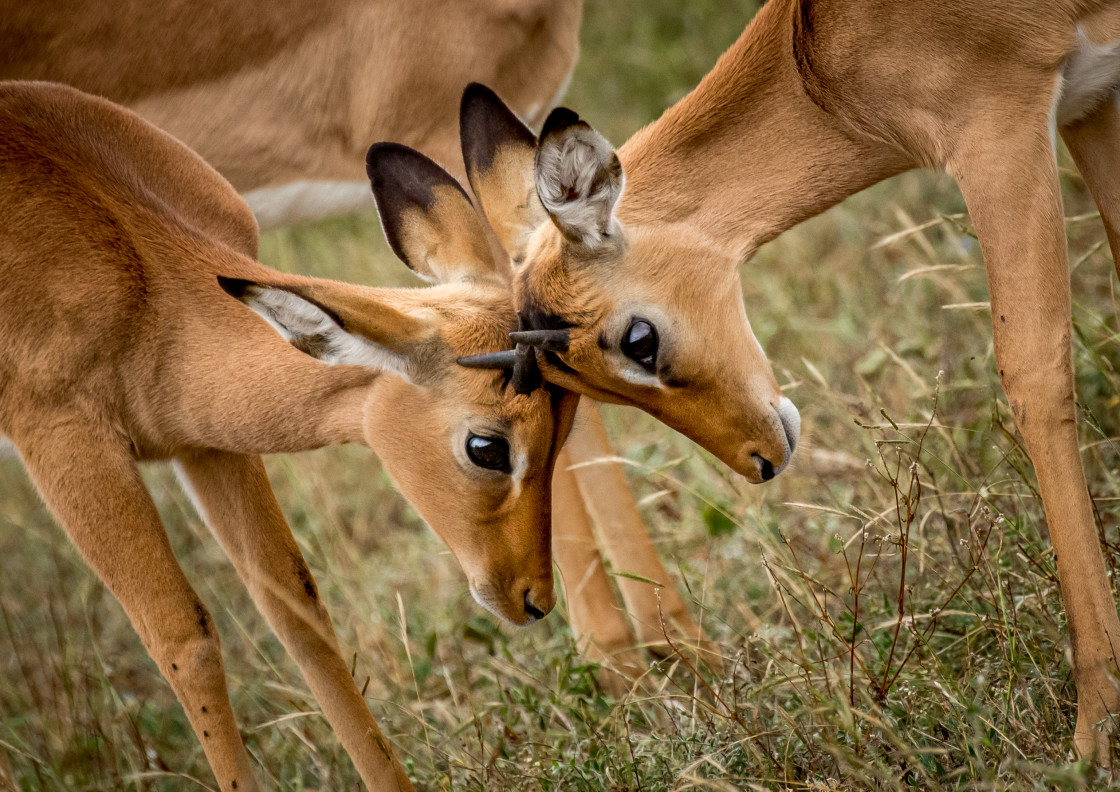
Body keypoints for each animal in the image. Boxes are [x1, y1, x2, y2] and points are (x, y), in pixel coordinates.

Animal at [0, 82, 577, 792]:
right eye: (487, 447)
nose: (534, 600)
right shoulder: (66, 439)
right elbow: (184, 640)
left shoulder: (208, 445)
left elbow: (298, 613)